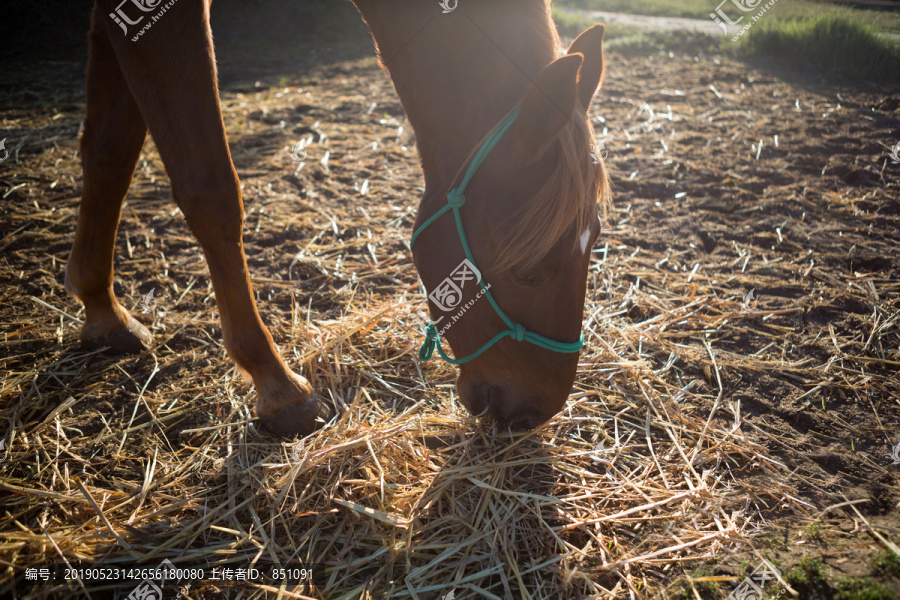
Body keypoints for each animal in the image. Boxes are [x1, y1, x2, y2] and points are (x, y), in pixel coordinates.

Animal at [67, 0, 608, 434]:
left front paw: (101, 308)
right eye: (529, 271)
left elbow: (110, 151)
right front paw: (278, 385)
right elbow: (210, 190)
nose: (536, 410)